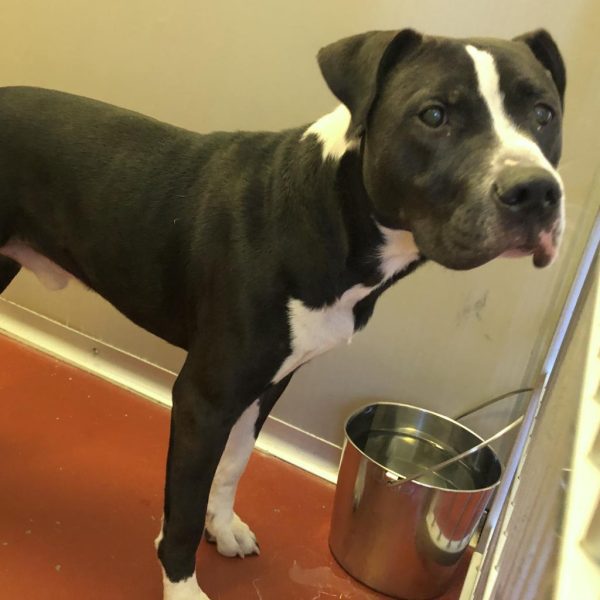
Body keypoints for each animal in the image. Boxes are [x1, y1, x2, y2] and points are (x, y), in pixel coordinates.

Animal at [0, 28, 565, 599]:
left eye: (544, 113)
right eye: (433, 115)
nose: (536, 189)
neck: (331, 210)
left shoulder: (271, 382)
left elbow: (235, 463)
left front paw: (223, 526)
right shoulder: (204, 398)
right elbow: (182, 513)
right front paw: (182, 585)